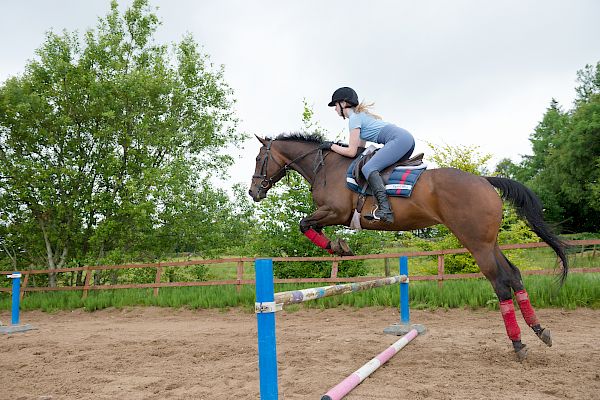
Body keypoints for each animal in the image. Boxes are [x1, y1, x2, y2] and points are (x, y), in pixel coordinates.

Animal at [247, 132, 568, 360]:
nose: (253, 192)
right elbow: (309, 225)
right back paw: (540, 331)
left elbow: (305, 224)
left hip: (476, 243)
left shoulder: (335, 211)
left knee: (500, 283)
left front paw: (338, 247)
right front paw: (340, 246)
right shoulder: (332, 214)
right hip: (490, 242)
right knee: (514, 276)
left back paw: (518, 343)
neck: (329, 167)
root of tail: (484, 181)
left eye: (259, 158)